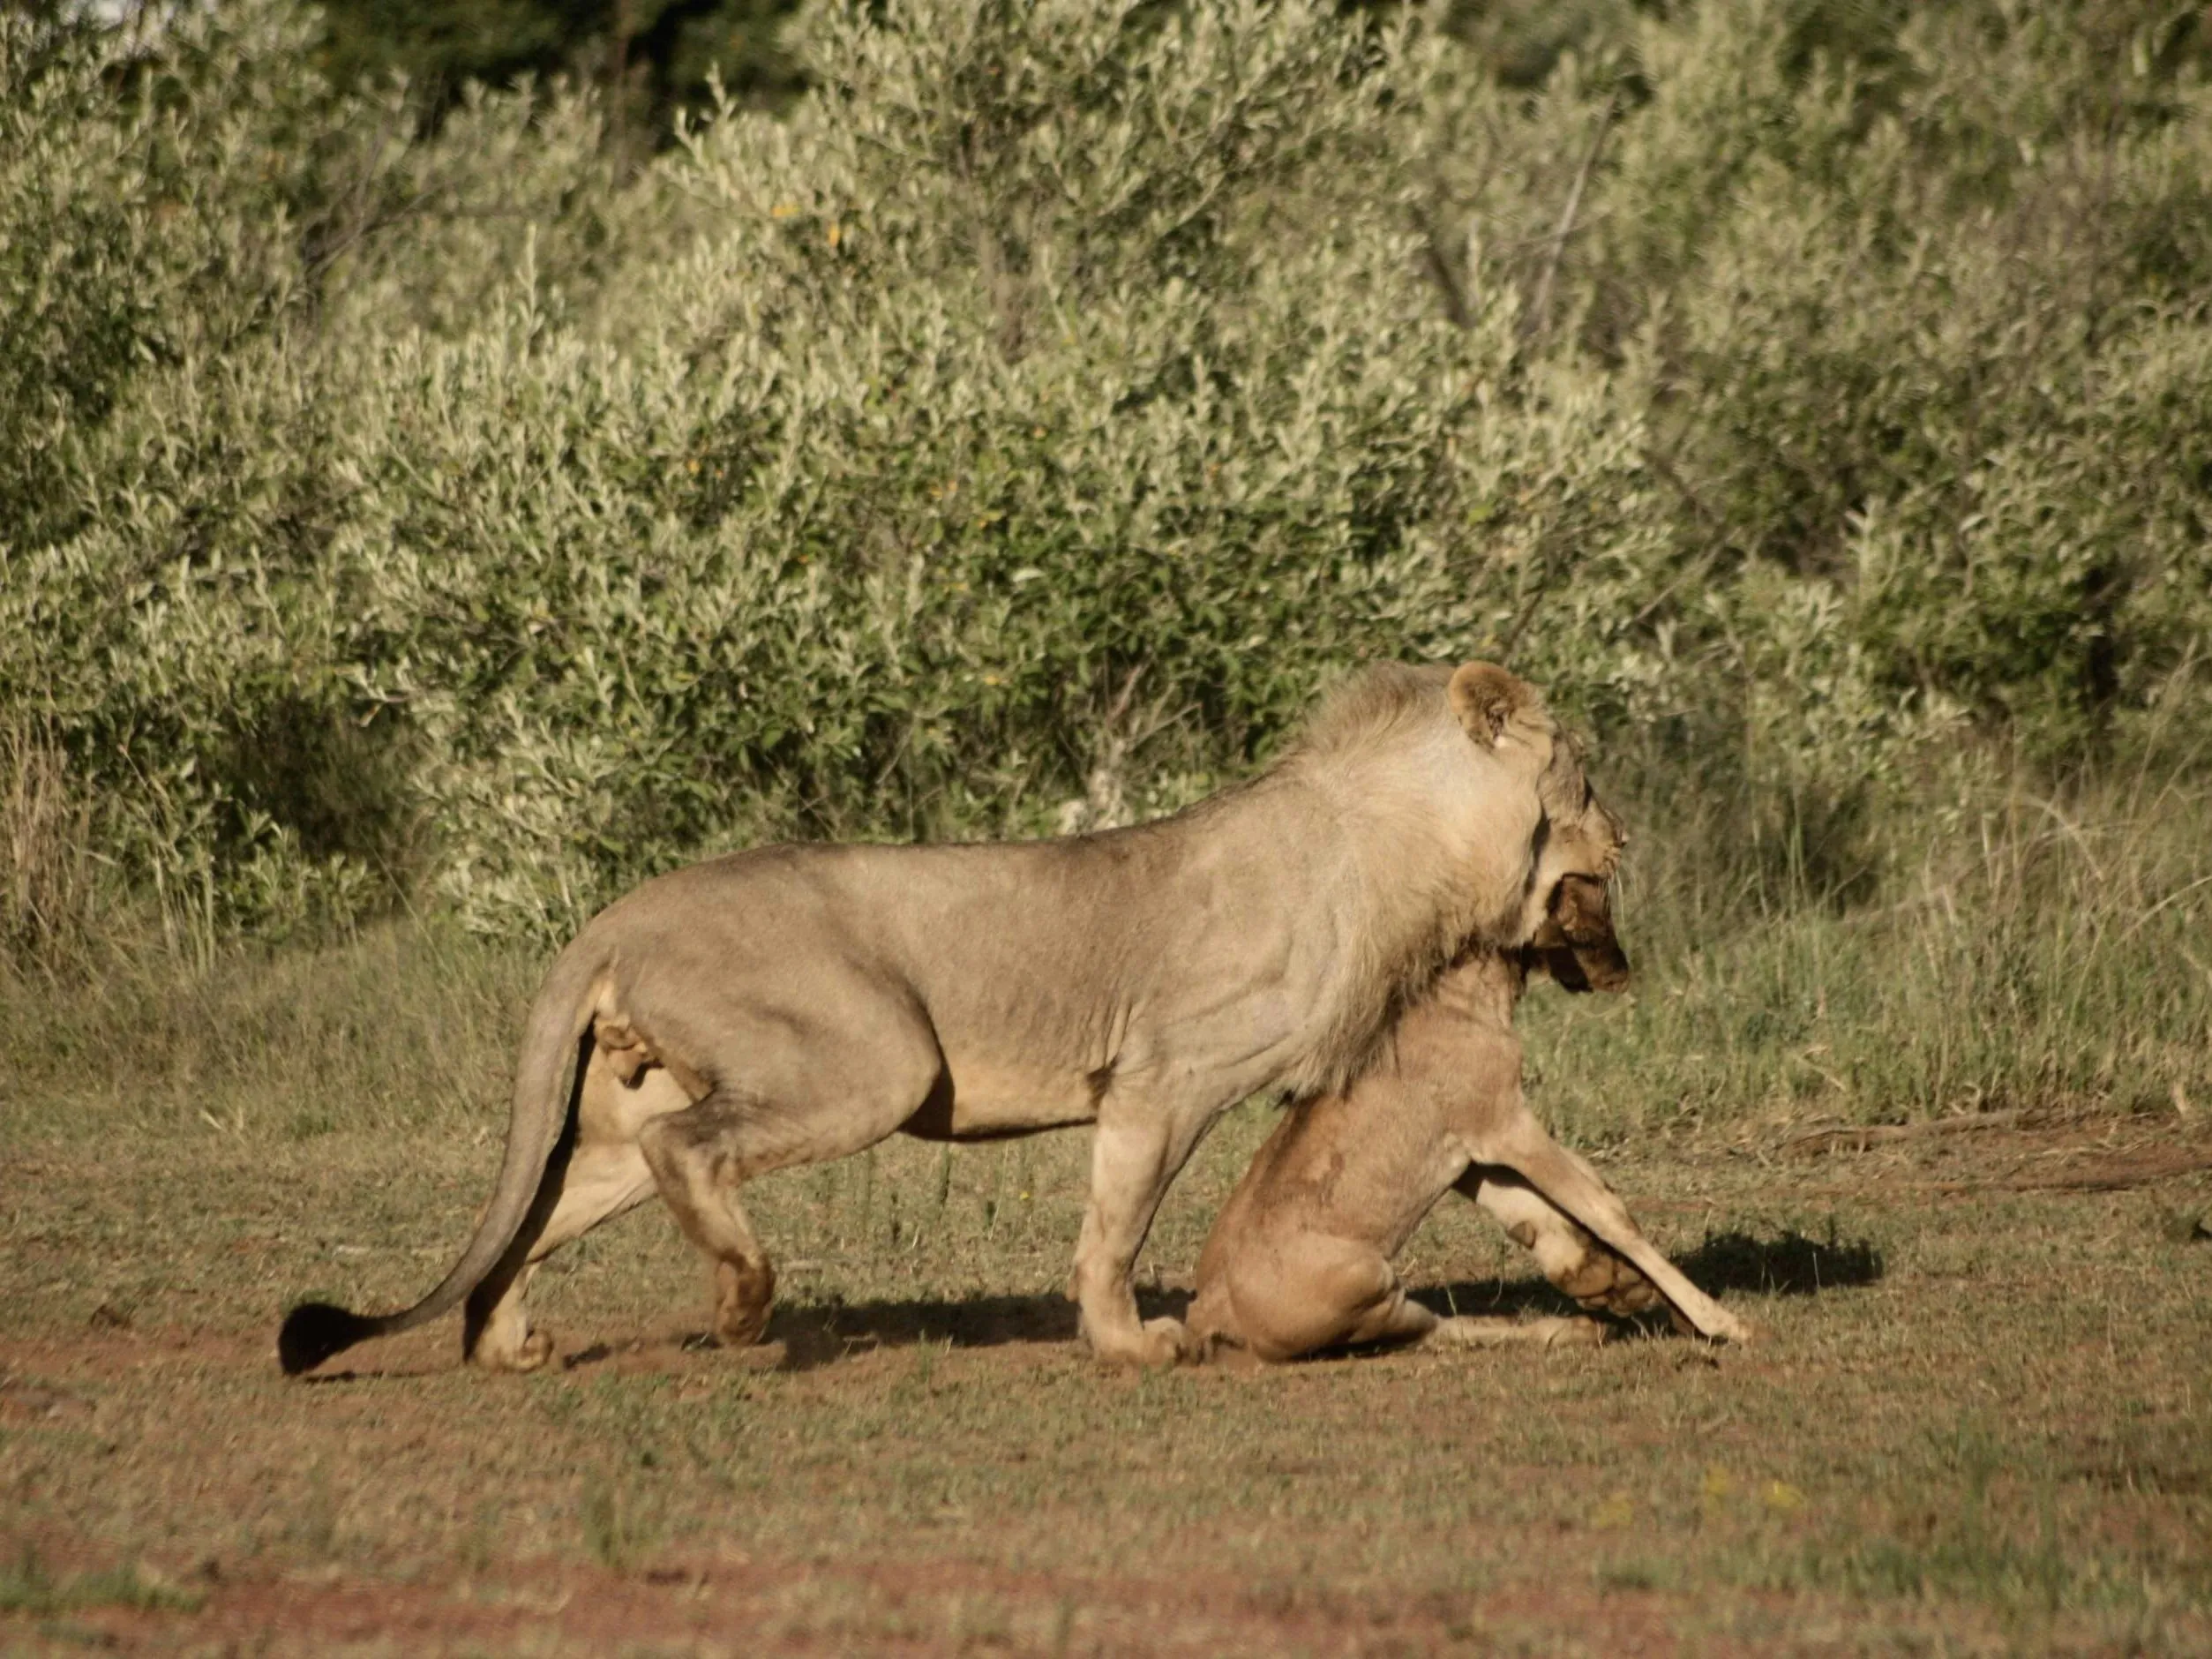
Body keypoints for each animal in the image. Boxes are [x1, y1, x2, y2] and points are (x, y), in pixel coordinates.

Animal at [279, 661, 1594, 1377]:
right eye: (1580, 777)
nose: (1622, 831)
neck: (1398, 848)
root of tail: (612, 914)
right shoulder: (1162, 1076)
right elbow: (1114, 1230)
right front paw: (1130, 1345)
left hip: (625, 1101)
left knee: (549, 1205)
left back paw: (508, 1346)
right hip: (882, 1058)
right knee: (679, 1151)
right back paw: (744, 1304)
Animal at [1189, 788, 1751, 1362]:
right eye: (1588, 890)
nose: (1616, 973)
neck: (1453, 1001)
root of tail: (1210, 1316)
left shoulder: (1469, 1156)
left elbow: (1555, 1197)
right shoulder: (1505, 1124)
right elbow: (1606, 1209)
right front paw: (1720, 1321)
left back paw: (1582, 1325)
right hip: (1375, 1287)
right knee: (1433, 1328)